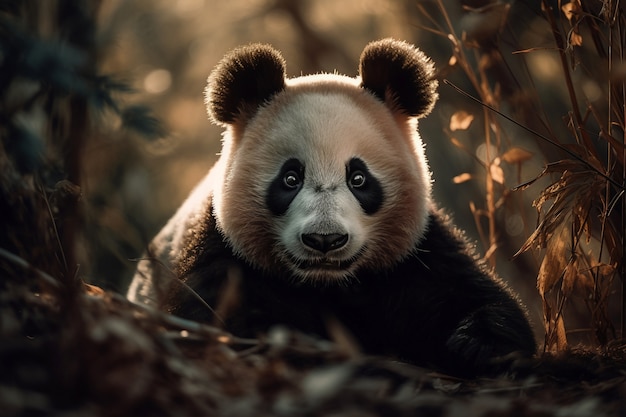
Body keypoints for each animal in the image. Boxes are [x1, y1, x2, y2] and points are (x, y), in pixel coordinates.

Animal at [125, 39, 532, 376]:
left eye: (359, 178)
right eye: (290, 178)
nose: (325, 240)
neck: (329, 284)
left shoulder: (416, 253)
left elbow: (470, 295)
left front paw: (477, 344)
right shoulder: (222, 254)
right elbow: (225, 324)